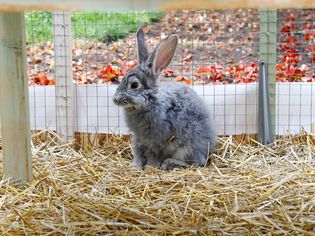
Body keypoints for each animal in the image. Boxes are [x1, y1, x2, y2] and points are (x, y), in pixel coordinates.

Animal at [113, 28, 217, 170]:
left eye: (134, 85)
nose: (115, 99)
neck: (149, 102)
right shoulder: (138, 137)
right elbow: (138, 151)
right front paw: (135, 167)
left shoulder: (157, 138)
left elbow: (153, 154)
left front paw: (150, 168)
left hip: (187, 147)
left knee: (196, 162)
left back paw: (168, 163)